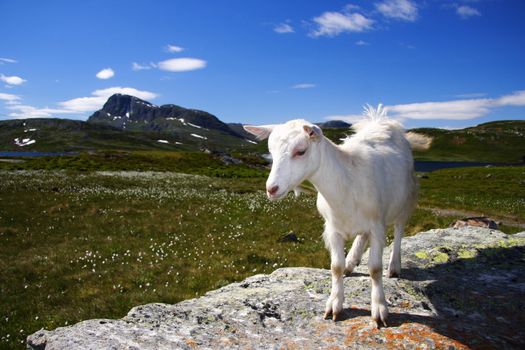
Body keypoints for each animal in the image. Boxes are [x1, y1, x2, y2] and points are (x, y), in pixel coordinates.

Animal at [244, 105, 428, 326]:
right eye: (271, 152)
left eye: (301, 151)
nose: (271, 189)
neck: (347, 183)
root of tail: (383, 123)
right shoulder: (332, 228)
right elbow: (336, 267)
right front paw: (335, 304)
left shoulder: (377, 225)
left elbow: (375, 269)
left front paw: (379, 308)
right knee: (361, 236)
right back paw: (351, 261)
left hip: (406, 198)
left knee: (400, 229)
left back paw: (394, 266)